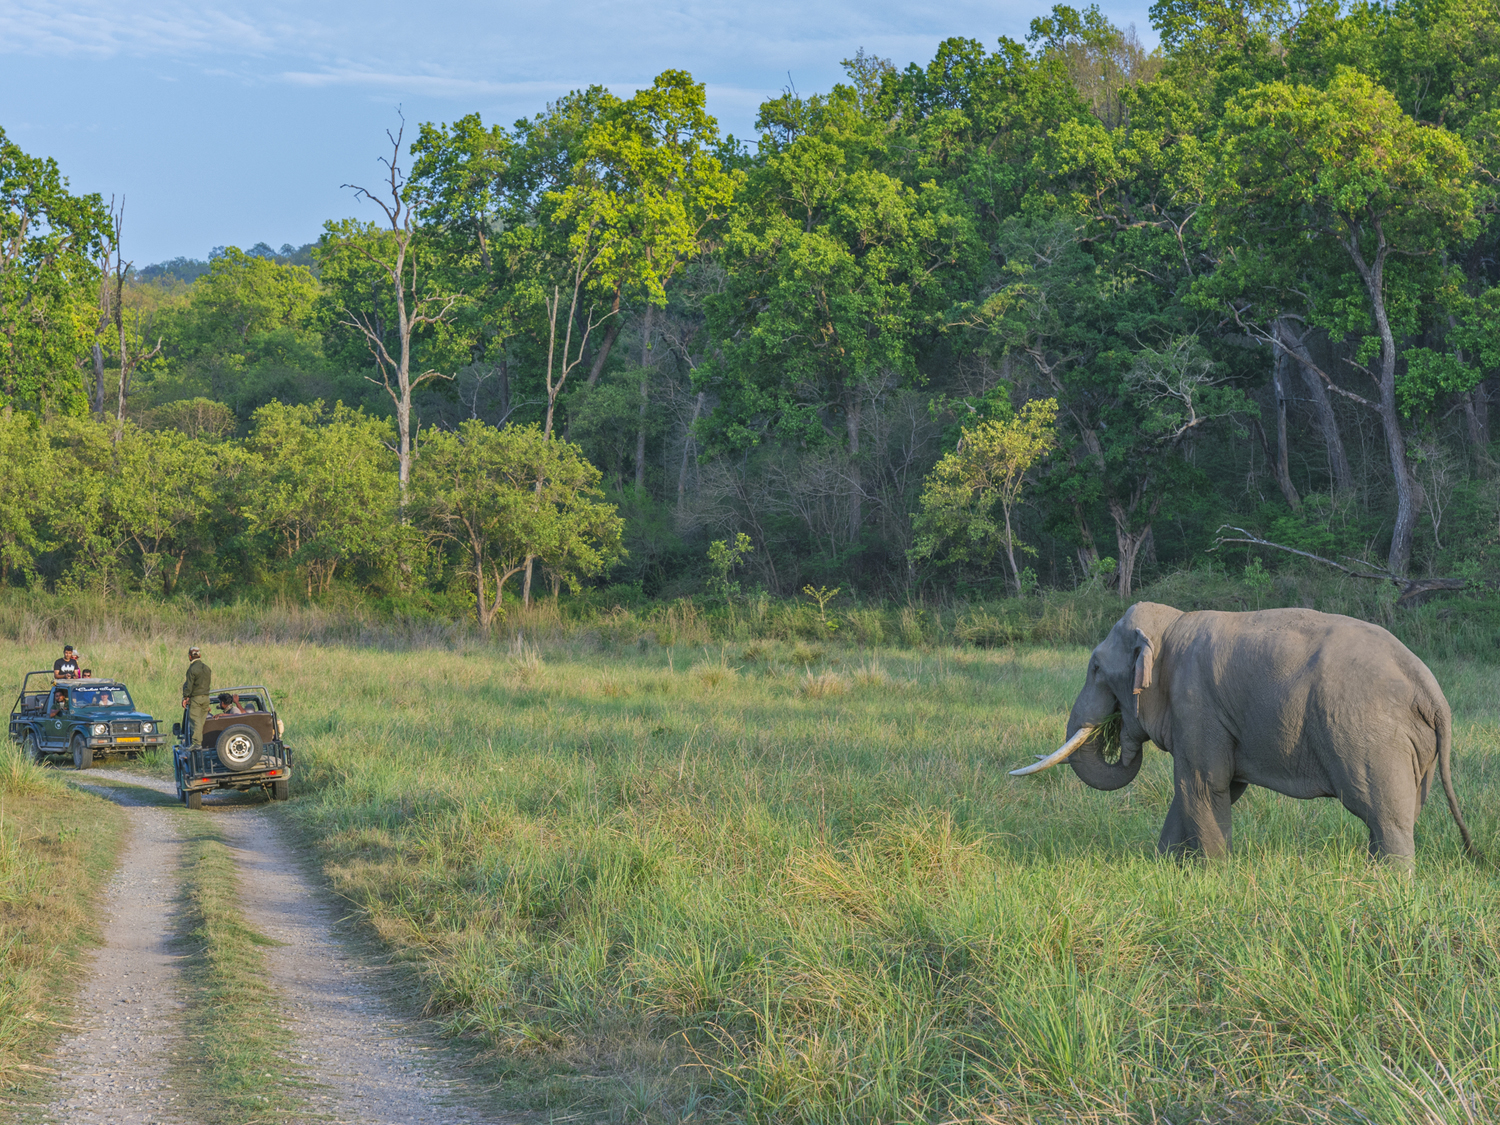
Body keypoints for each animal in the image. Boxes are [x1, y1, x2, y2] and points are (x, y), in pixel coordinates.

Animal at [1014, 603, 1482, 870]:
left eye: (1095, 667)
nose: (1119, 735)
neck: (1172, 624)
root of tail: (1431, 689)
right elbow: (1204, 789)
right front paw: (1164, 869)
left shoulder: (1195, 702)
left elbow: (1204, 785)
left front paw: (1214, 876)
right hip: (1411, 746)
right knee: (1402, 811)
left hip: (1369, 737)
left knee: (1383, 814)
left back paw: (1387, 886)